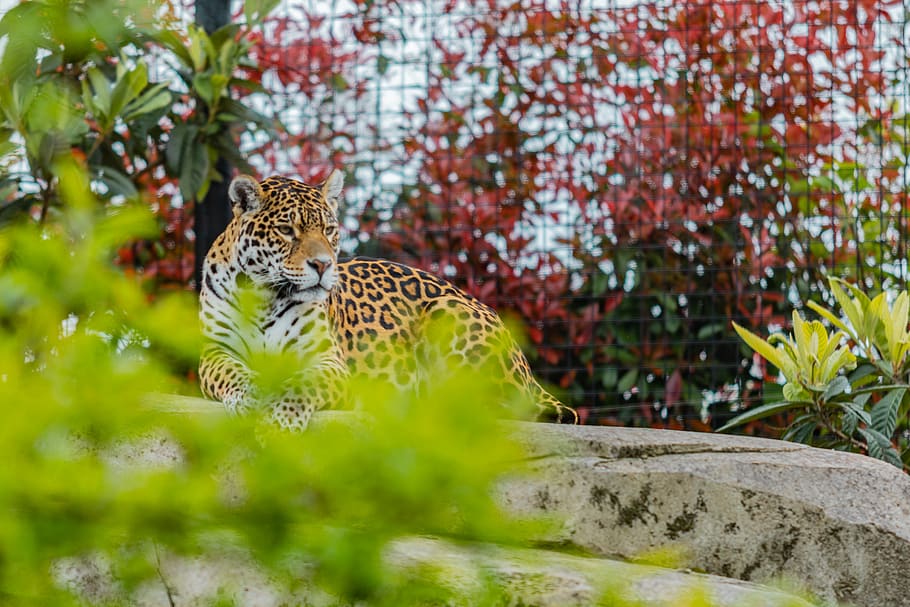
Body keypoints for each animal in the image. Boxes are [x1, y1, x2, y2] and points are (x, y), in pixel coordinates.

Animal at [198, 170, 578, 430]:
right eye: (286, 231)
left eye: (329, 230)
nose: (322, 265)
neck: (265, 295)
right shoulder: (214, 352)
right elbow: (231, 372)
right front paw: (250, 396)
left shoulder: (327, 360)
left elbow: (301, 385)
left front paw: (282, 420)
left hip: (448, 312)